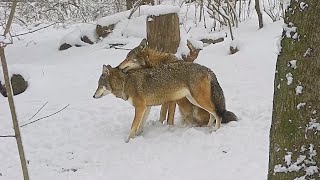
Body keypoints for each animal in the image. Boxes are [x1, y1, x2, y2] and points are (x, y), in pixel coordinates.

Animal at [93, 62, 238, 142]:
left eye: (99, 85)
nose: (93, 96)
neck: (125, 83)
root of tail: (207, 68)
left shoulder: (139, 108)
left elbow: (133, 126)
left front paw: (128, 140)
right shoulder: (146, 107)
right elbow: (140, 125)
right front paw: (139, 136)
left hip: (199, 100)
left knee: (217, 114)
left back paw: (216, 130)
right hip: (195, 100)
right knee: (212, 114)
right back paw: (208, 128)